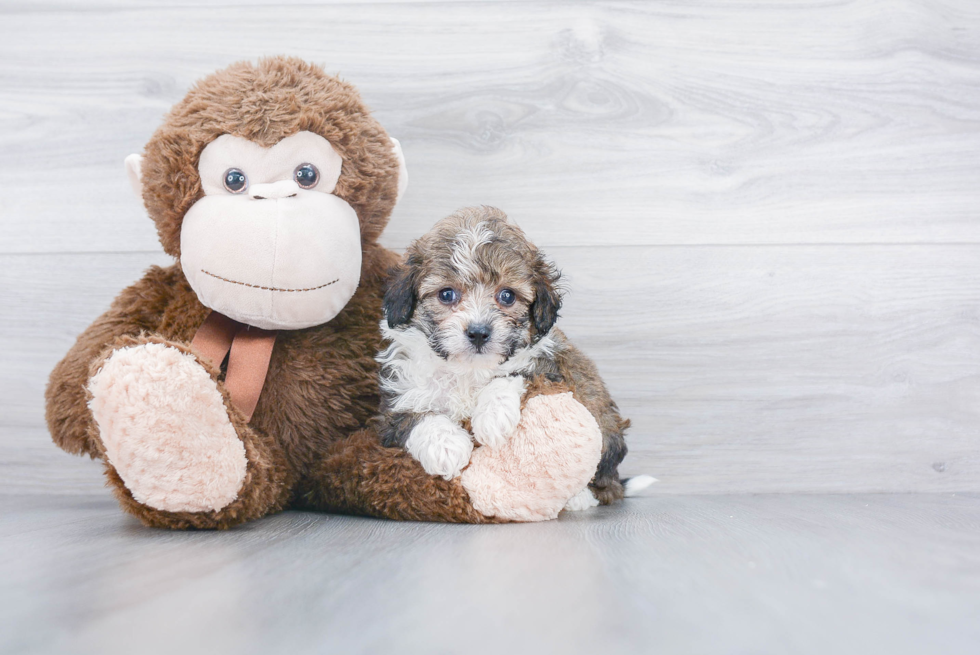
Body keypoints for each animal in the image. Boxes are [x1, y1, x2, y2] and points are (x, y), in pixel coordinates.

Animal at [374, 205, 644, 508]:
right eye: (446, 294)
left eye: (507, 296)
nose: (479, 332)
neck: (468, 370)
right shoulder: (396, 400)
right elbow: (411, 417)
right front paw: (446, 446)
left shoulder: (551, 369)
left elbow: (515, 375)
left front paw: (492, 417)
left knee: (605, 484)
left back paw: (580, 499)